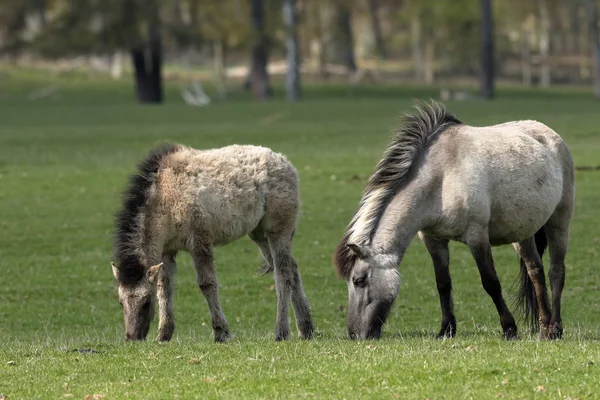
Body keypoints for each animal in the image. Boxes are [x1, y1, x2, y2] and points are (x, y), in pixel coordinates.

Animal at [112, 142, 314, 342]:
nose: (132, 338)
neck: (165, 196)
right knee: (292, 268)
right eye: (121, 302)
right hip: (259, 234)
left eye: (146, 302)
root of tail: (285, 162)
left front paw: (221, 332)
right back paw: (306, 328)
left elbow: (206, 284)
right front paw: (163, 335)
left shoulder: (199, 241)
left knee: (283, 273)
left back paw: (282, 332)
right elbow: (164, 288)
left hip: (278, 230)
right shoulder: (166, 252)